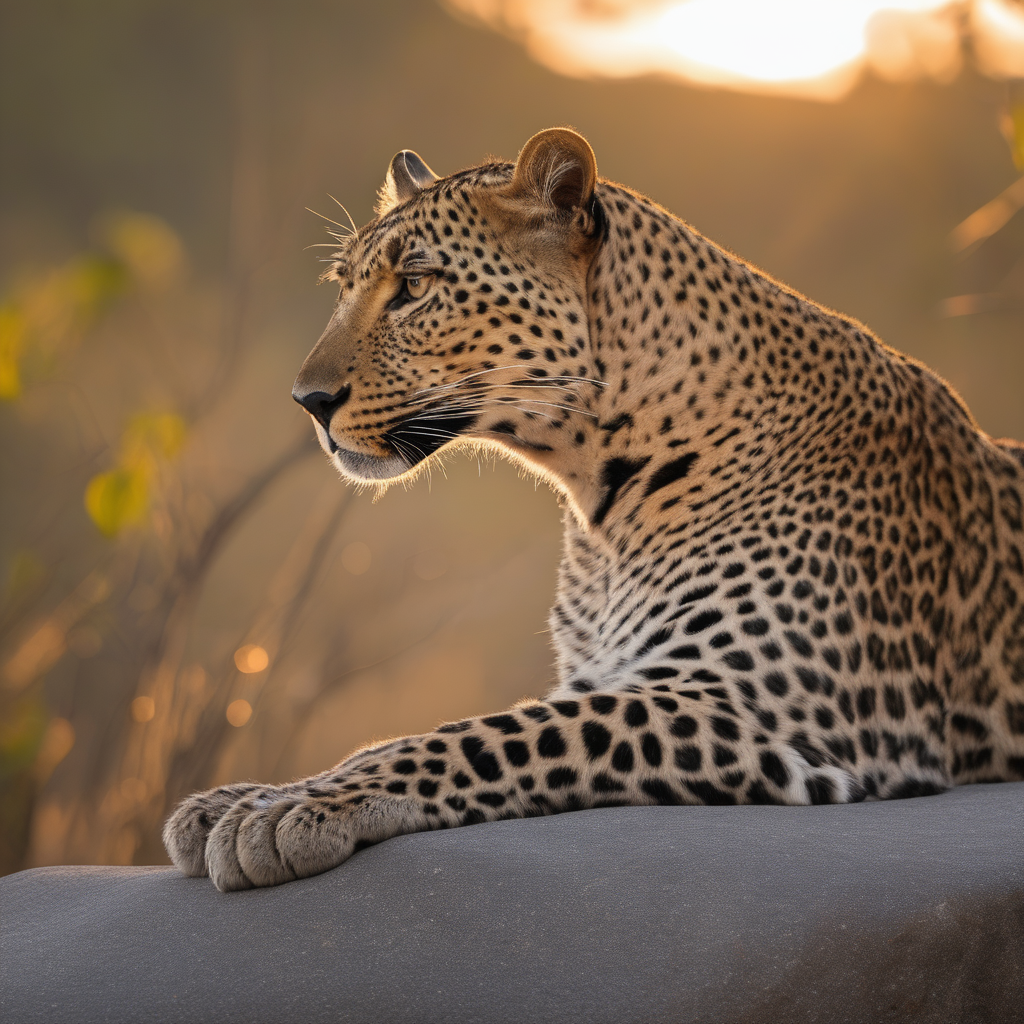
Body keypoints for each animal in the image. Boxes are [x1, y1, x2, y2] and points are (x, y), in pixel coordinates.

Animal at [164, 127, 1024, 891]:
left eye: (414, 286)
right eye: (343, 286)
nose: (307, 401)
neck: (600, 501)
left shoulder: (762, 706)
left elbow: (485, 735)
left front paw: (293, 810)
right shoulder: (611, 674)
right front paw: (242, 797)